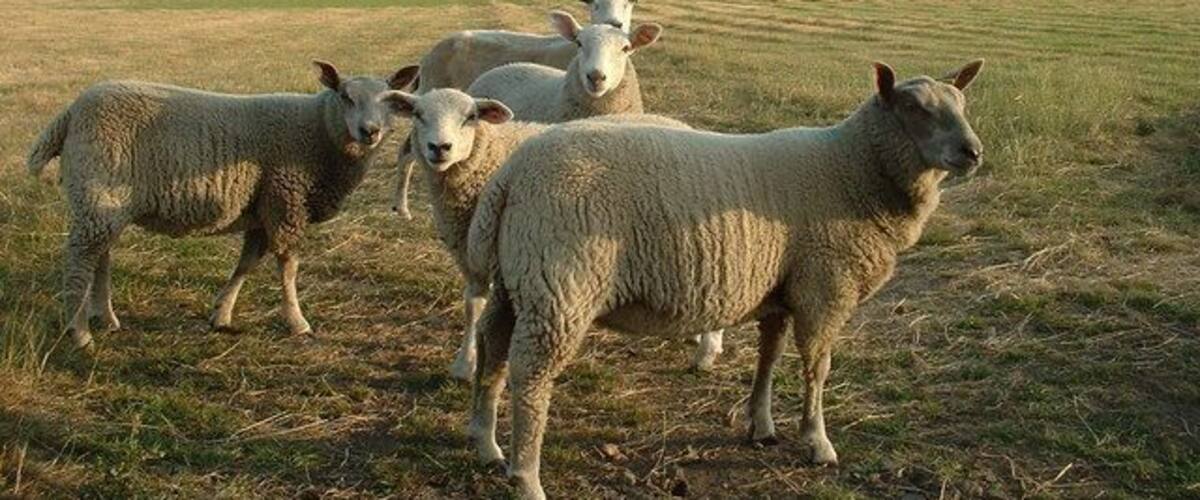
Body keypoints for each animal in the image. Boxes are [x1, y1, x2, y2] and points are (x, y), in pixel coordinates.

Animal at [26, 60, 419, 350]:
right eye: (344, 96)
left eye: (390, 101)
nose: (370, 131)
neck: (319, 132)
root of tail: (71, 112)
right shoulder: (285, 199)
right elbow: (287, 267)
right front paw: (297, 322)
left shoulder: (261, 209)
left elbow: (247, 264)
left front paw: (221, 315)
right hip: (97, 193)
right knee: (80, 261)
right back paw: (80, 334)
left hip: (107, 203)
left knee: (100, 257)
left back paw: (106, 319)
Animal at [392, 88, 720, 380]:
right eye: (418, 115)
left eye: (470, 116)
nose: (439, 147)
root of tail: (679, 124)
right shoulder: (471, 256)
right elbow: (473, 307)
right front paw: (464, 365)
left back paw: (706, 354)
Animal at [464, 59, 986, 499]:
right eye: (915, 108)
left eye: (962, 105)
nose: (973, 152)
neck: (853, 170)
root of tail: (513, 174)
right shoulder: (824, 288)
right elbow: (817, 369)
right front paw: (816, 441)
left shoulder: (779, 290)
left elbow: (769, 357)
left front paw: (761, 424)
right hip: (559, 287)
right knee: (531, 376)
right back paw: (526, 476)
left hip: (517, 280)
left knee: (492, 345)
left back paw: (485, 443)